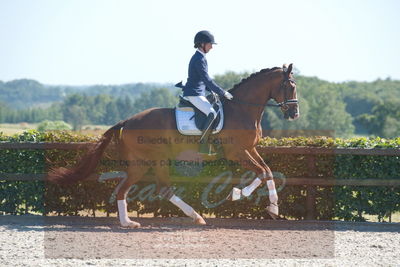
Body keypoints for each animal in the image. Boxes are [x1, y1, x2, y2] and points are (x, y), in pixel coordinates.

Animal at [47, 63, 298, 228]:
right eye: (290, 86)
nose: (294, 114)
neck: (242, 109)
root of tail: (127, 121)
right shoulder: (237, 151)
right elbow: (262, 172)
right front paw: (238, 194)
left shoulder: (250, 149)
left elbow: (267, 171)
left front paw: (272, 208)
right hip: (155, 158)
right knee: (161, 189)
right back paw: (192, 217)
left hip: (141, 162)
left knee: (127, 189)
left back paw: (130, 222)